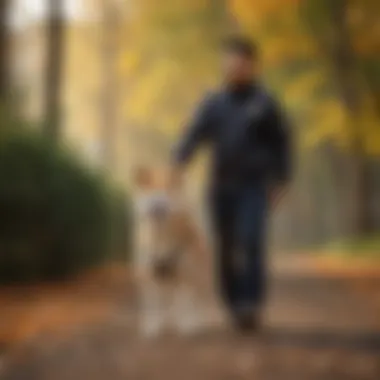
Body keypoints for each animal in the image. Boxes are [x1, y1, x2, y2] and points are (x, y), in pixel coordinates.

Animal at [131, 167, 208, 338]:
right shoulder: (148, 276)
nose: (159, 204)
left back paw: (193, 320)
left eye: (168, 189)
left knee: (193, 299)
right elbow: (152, 305)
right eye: (150, 188)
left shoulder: (184, 274)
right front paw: (152, 326)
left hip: (193, 273)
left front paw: (186, 324)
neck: (161, 237)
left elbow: (184, 301)